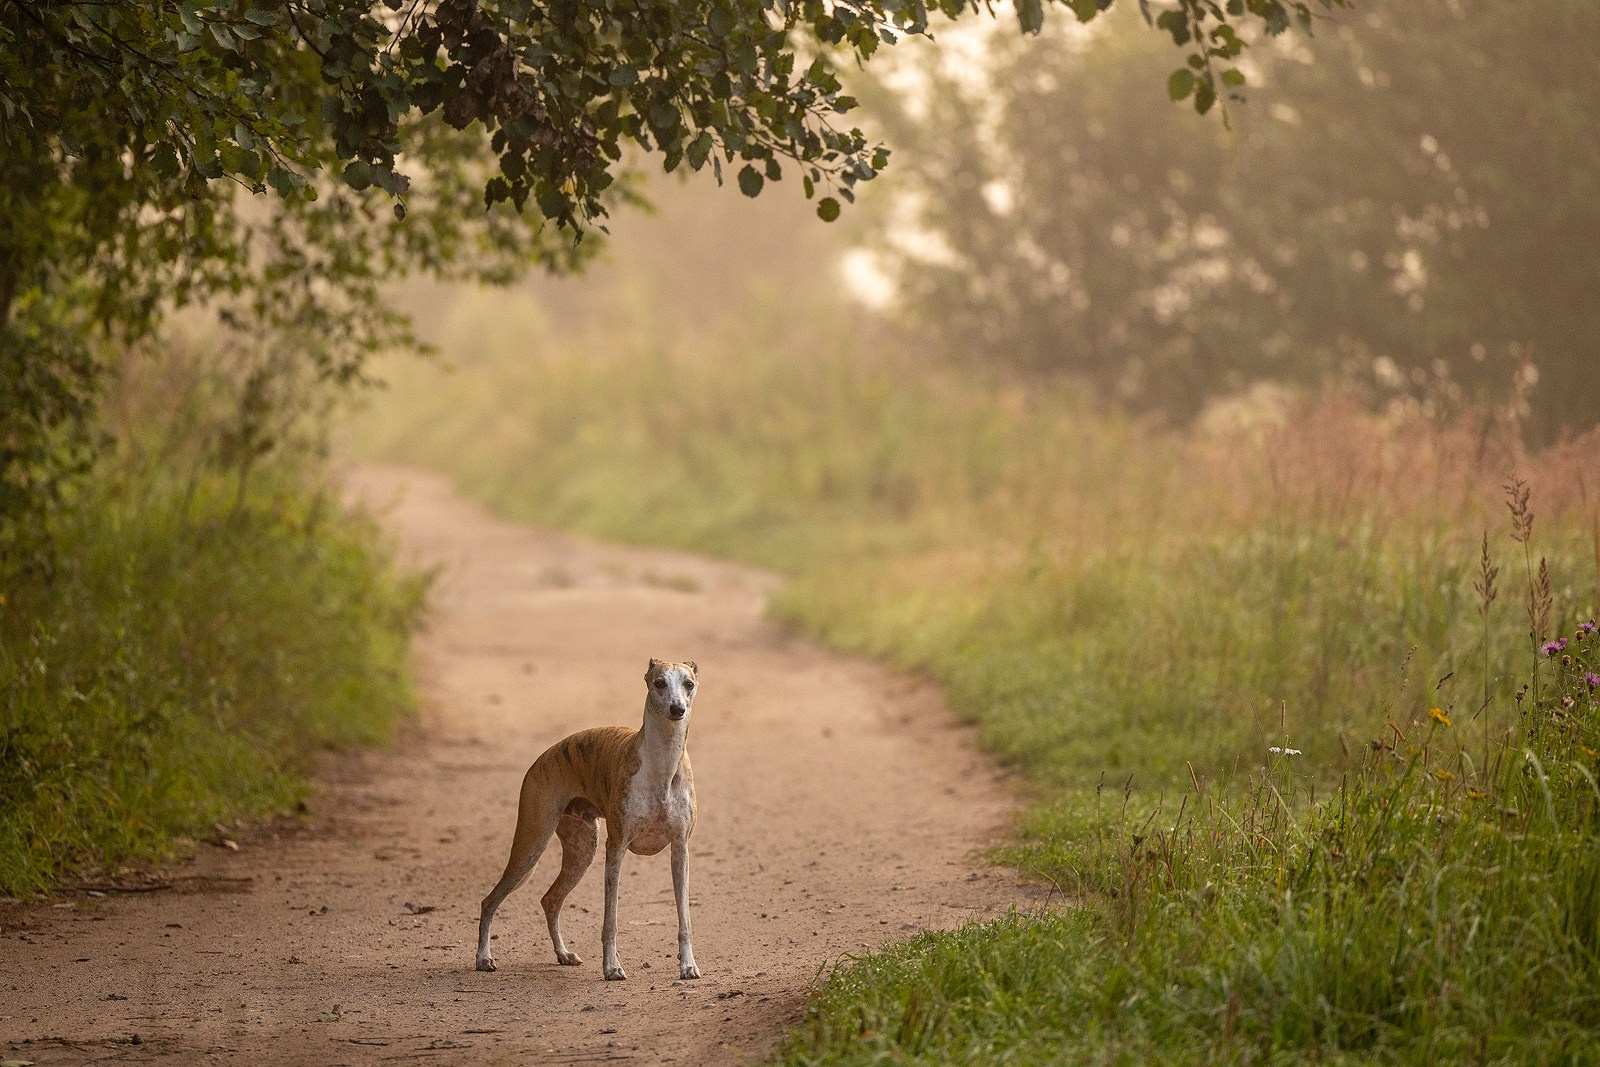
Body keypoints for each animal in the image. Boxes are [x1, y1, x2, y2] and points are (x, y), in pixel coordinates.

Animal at [475, 658, 701, 981]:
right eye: (659, 682)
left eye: (688, 683)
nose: (677, 709)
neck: (662, 766)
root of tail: (539, 760)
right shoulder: (616, 848)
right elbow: (610, 920)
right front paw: (612, 967)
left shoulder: (680, 849)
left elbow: (685, 917)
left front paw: (688, 965)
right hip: (531, 843)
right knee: (490, 901)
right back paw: (483, 958)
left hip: (581, 849)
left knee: (550, 900)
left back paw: (563, 954)